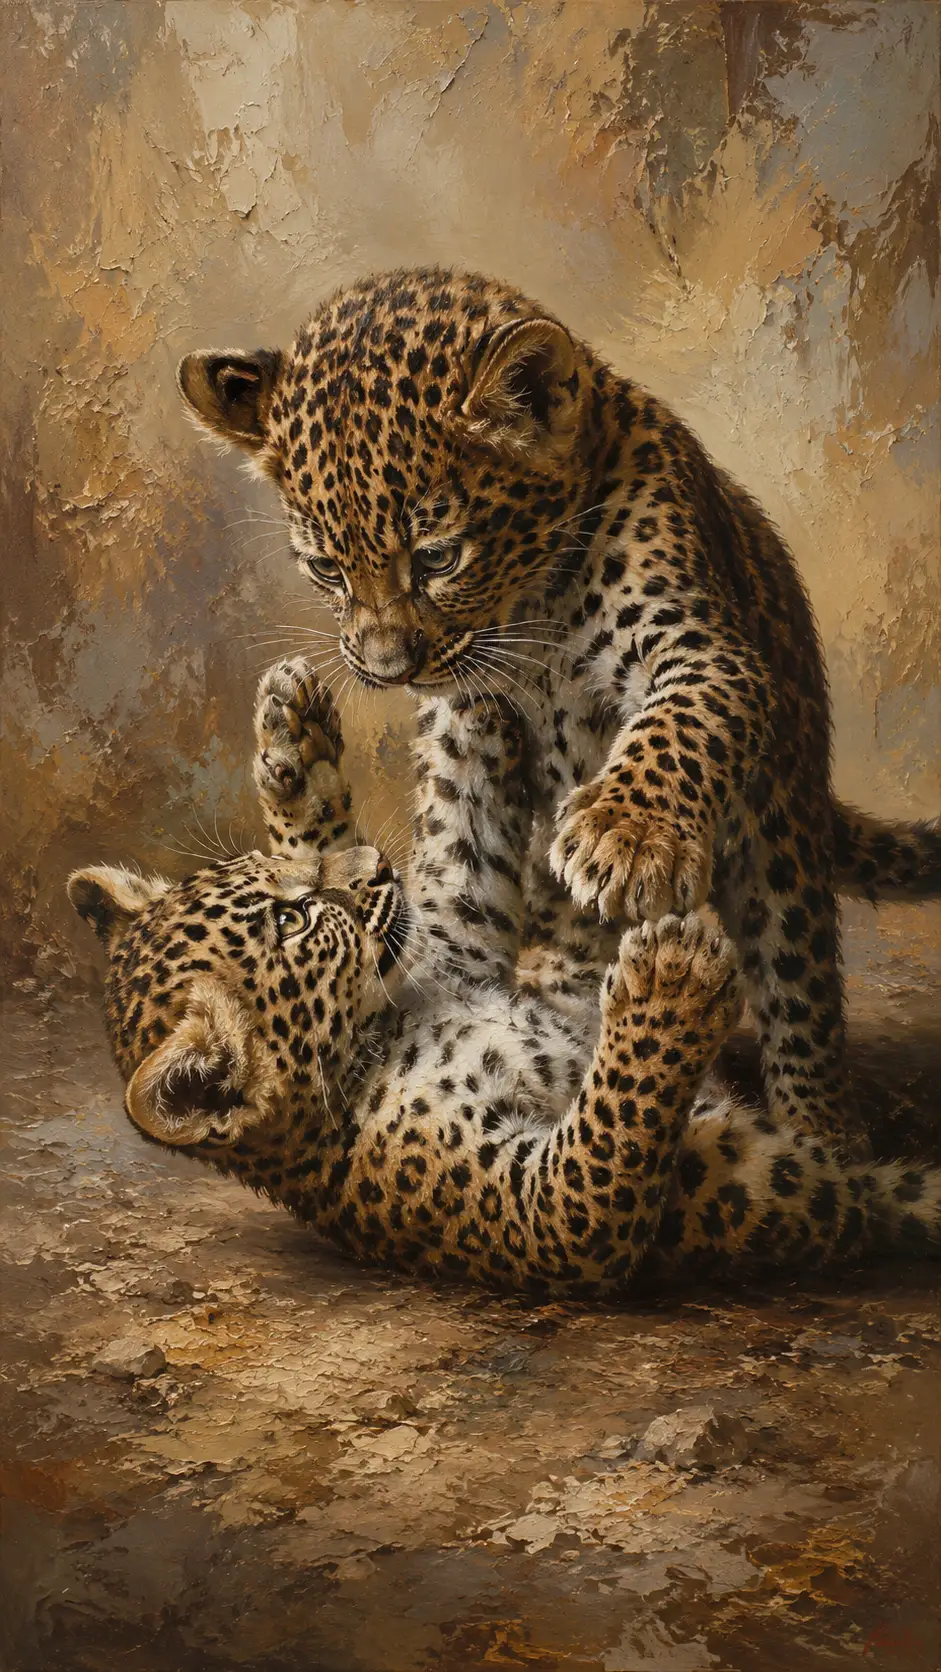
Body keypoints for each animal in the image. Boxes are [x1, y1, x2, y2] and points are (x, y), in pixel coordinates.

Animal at [68, 656, 941, 1298]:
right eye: (290, 924)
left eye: (287, 883)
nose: (377, 866)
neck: (389, 1025)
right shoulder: (543, 1220)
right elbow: (610, 1136)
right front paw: (669, 979)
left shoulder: (467, 942)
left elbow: (458, 863)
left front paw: (299, 738)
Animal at [177, 267, 941, 1152]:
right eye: (326, 569)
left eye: (437, 558)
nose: (384, 668)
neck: (531, 609)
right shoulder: (473, 728)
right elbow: (457, 872)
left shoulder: (701, 647)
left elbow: (675, 728)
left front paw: (625, 836)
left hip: (777, 831)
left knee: (799, 988)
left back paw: (819, 1136)